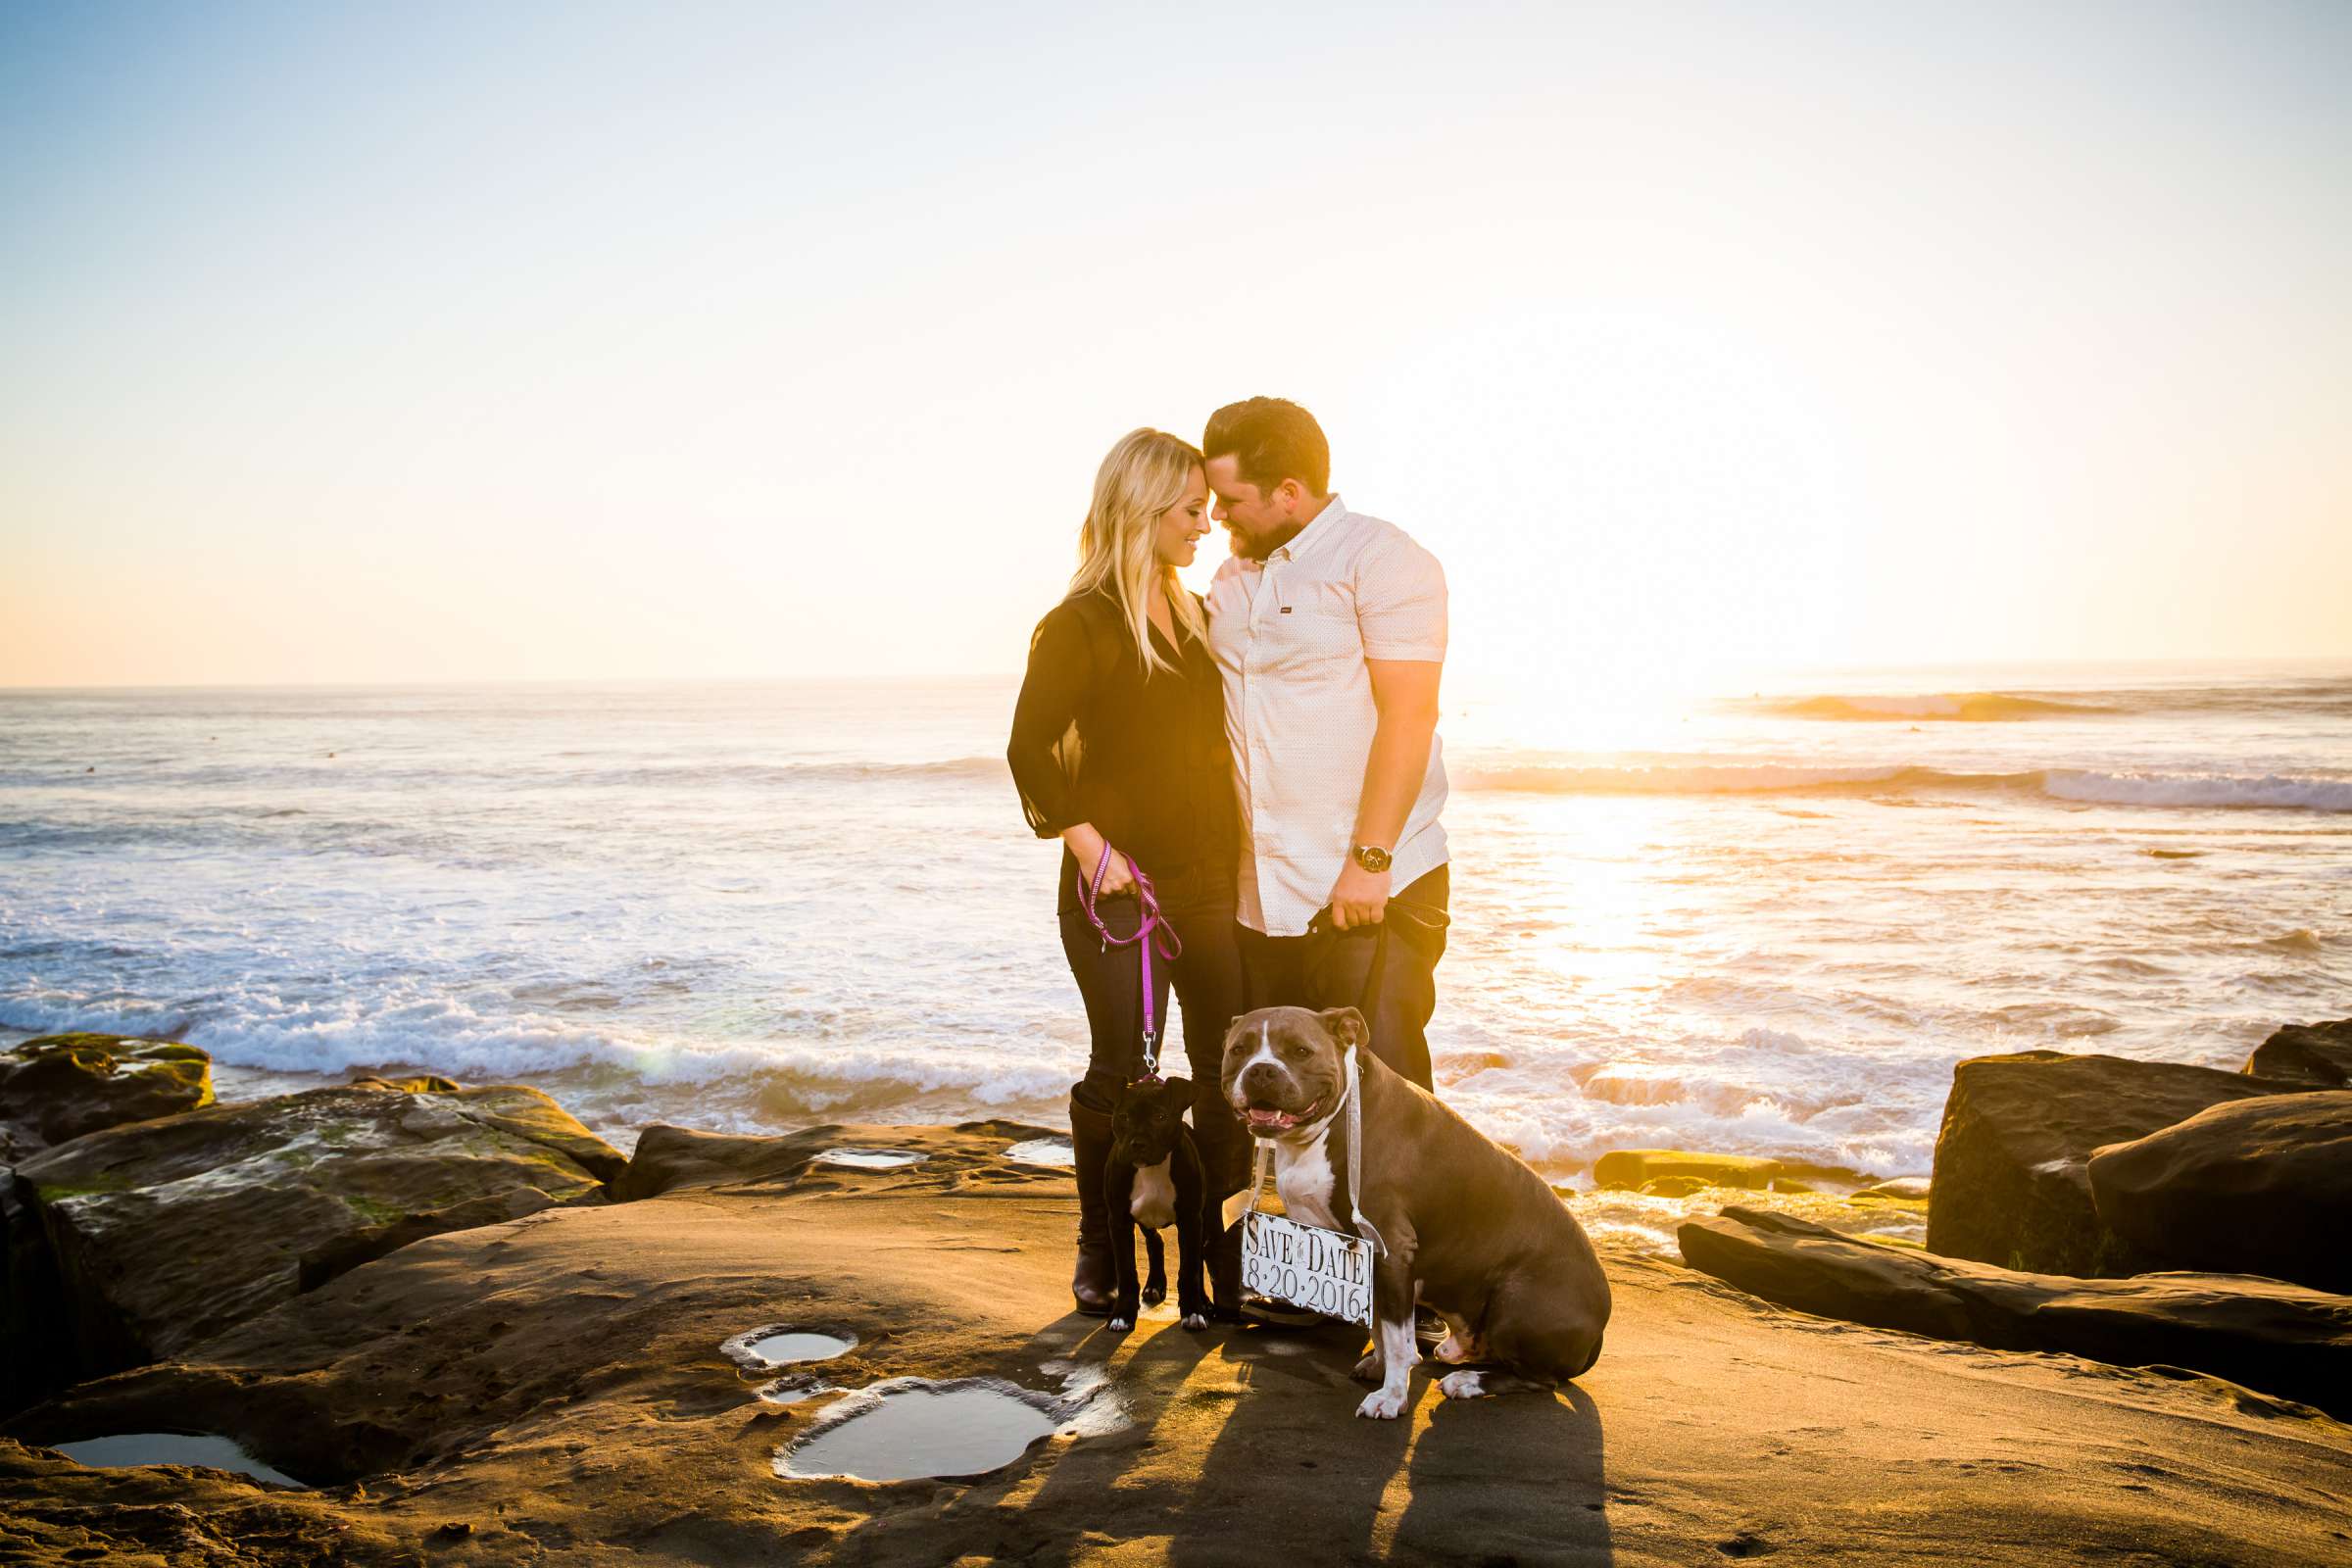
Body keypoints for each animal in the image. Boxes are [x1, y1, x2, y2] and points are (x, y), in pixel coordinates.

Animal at [1101, 1081, 1213, 1335]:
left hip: (1203, 1219)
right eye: (1124, 1117)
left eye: (1160, 1116)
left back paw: (1203, 1300)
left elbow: (1189, 1269)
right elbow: (1126, 1271)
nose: (1138, 1144)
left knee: (1198, 1258)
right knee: (1155, 1242)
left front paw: (1193, 1311)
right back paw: (1154, 1285)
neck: (1151, 1168)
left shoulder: (1191, 1220)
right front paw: (1122, 1315)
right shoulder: (1119, 1221)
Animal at [1223, 1005, 1608, 1419]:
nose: (1262, 1070)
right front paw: (1379, 1367)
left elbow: (1396, 1339)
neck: (1333, 1121)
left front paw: (1392, 1395)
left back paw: (1469, 1381)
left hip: (1516, 1300)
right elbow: (1378, 1326)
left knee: (1541, 1380)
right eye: (1239, 1050)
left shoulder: (1390, 1247)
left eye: (1300, 1051)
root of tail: (1601, 1328)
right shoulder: (1364, 1258)